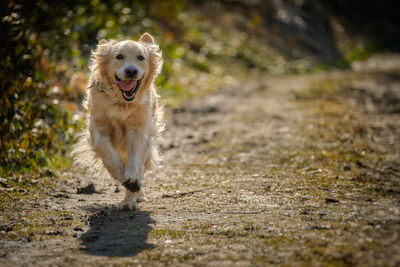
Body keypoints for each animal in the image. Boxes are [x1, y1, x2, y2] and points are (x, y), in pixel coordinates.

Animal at [72, 32, 163, 210]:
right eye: (119, 56)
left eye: (141, 57)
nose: (131, 71)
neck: (121, 103)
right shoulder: (97, 127)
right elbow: (108, 155)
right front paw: (121, 173)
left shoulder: (138, 130)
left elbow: (135, 161)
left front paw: (132, 182)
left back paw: (131, 199)